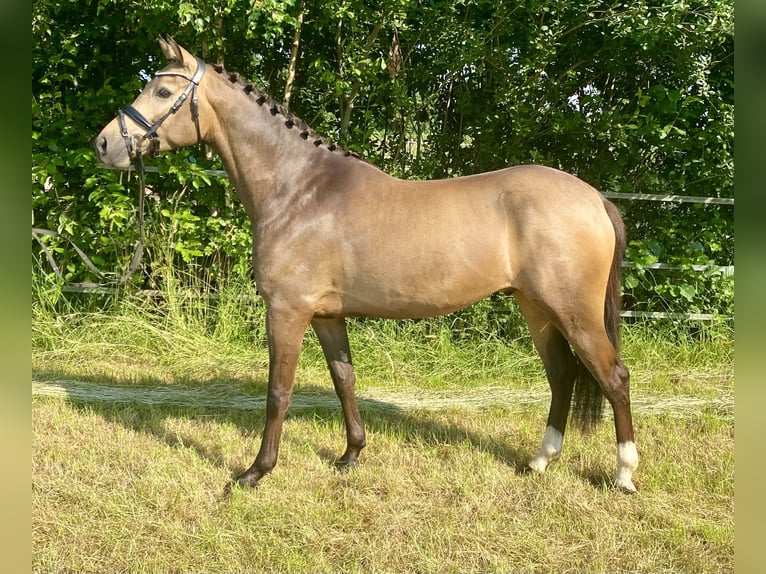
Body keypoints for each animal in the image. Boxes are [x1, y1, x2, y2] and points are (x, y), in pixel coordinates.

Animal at [93, 37, 640, 496]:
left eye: (163, 90)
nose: (104, 144)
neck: (299, 190)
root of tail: (594, 198)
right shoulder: (327, 316)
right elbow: (344, 380)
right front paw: (351, 455)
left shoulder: (287, 311)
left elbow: (278, 391)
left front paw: (255, 472)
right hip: (538, 310)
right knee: (562, 377)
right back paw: (540, 462)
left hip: (573, 312)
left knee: (613, 376)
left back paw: (623, 475)